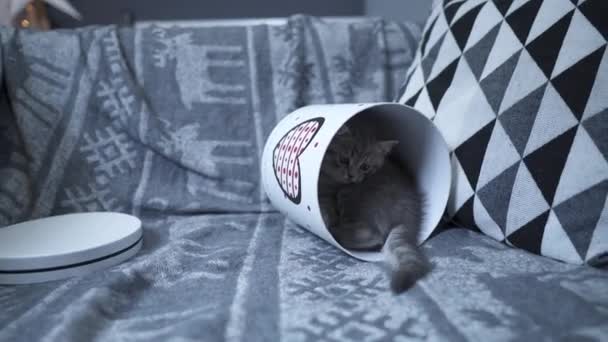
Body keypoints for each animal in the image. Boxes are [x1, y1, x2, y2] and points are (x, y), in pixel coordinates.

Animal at [320, 124, 430, 292]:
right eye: (344, 160)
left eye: (365, 167)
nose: (351, 176)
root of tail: (409, 215)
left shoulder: (331, 195)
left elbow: (327, 210)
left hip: (351, 197)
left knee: (373, 236)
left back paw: (335, 232)